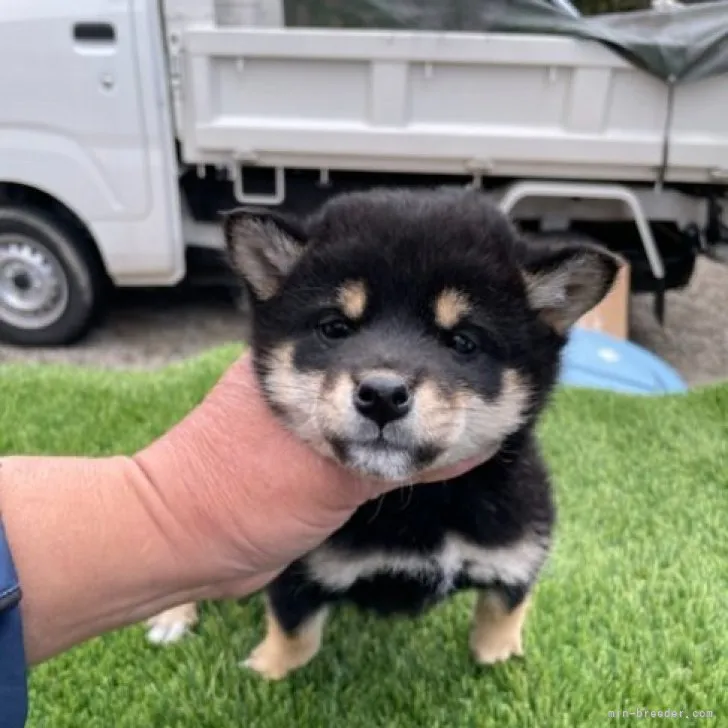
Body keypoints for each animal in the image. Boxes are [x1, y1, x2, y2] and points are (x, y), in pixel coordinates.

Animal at [148, 189, 620, 684]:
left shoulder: (518, 546)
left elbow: (504, 613)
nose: (382, 395)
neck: (412, 506)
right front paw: (267, 671)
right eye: (335, 327)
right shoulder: (296, 570)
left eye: (464, 342)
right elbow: (296, 638)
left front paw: (501, 657)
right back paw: (172, 617)